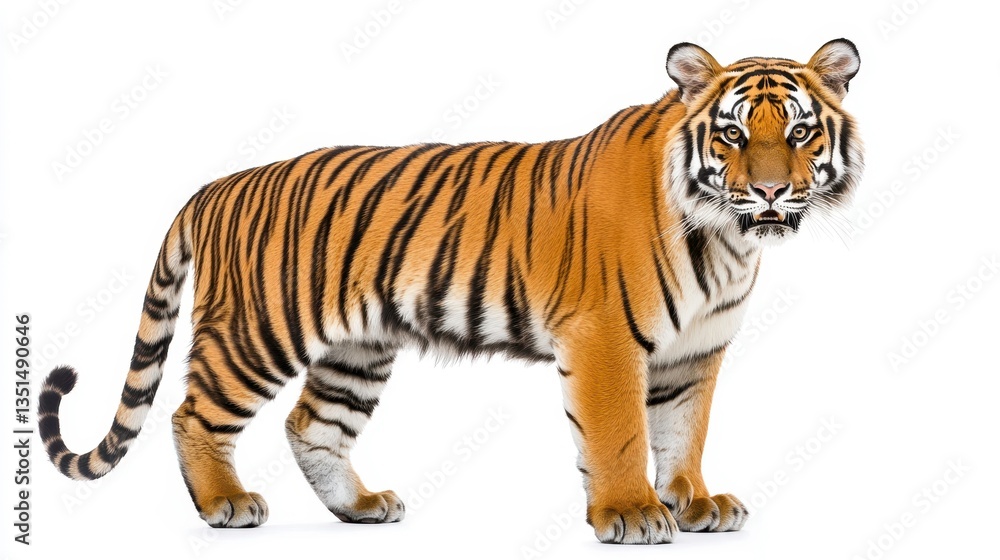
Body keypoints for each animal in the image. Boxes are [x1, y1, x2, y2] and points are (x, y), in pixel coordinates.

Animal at [38, 38, 862, 544]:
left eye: (798, 133)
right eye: (731, 134)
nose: (769, 191)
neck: (726, 238)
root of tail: (215, 185)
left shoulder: (696, 351)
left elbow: (683, 431)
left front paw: (694, 502)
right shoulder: (604, 337)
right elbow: (622, 432)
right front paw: (632, 512)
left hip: (357, 349)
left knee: (311, 425)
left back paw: (360, 507)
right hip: (258, 332)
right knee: (192, 414)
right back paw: (224, 504)